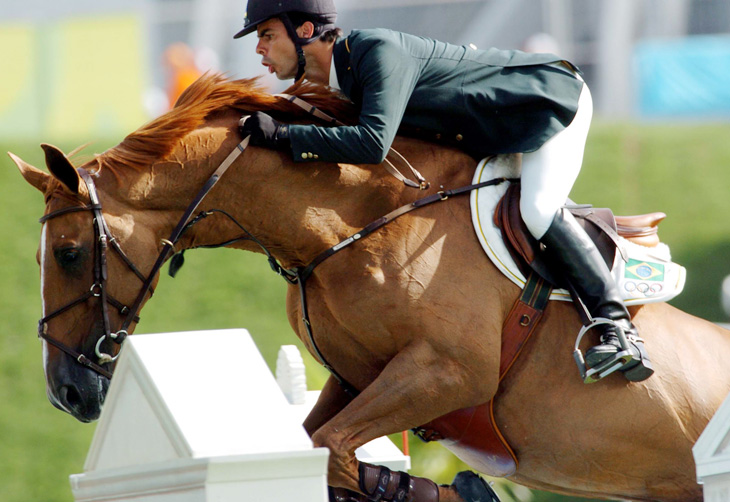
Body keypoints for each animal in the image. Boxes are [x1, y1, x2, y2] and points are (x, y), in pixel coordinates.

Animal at [9, 74, 728, 502]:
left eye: (69, 253)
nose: (65, 392)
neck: (348, 227)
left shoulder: (446, 374)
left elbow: (328, 449)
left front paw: (456, 492)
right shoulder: (358, 378)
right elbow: (317, 446)